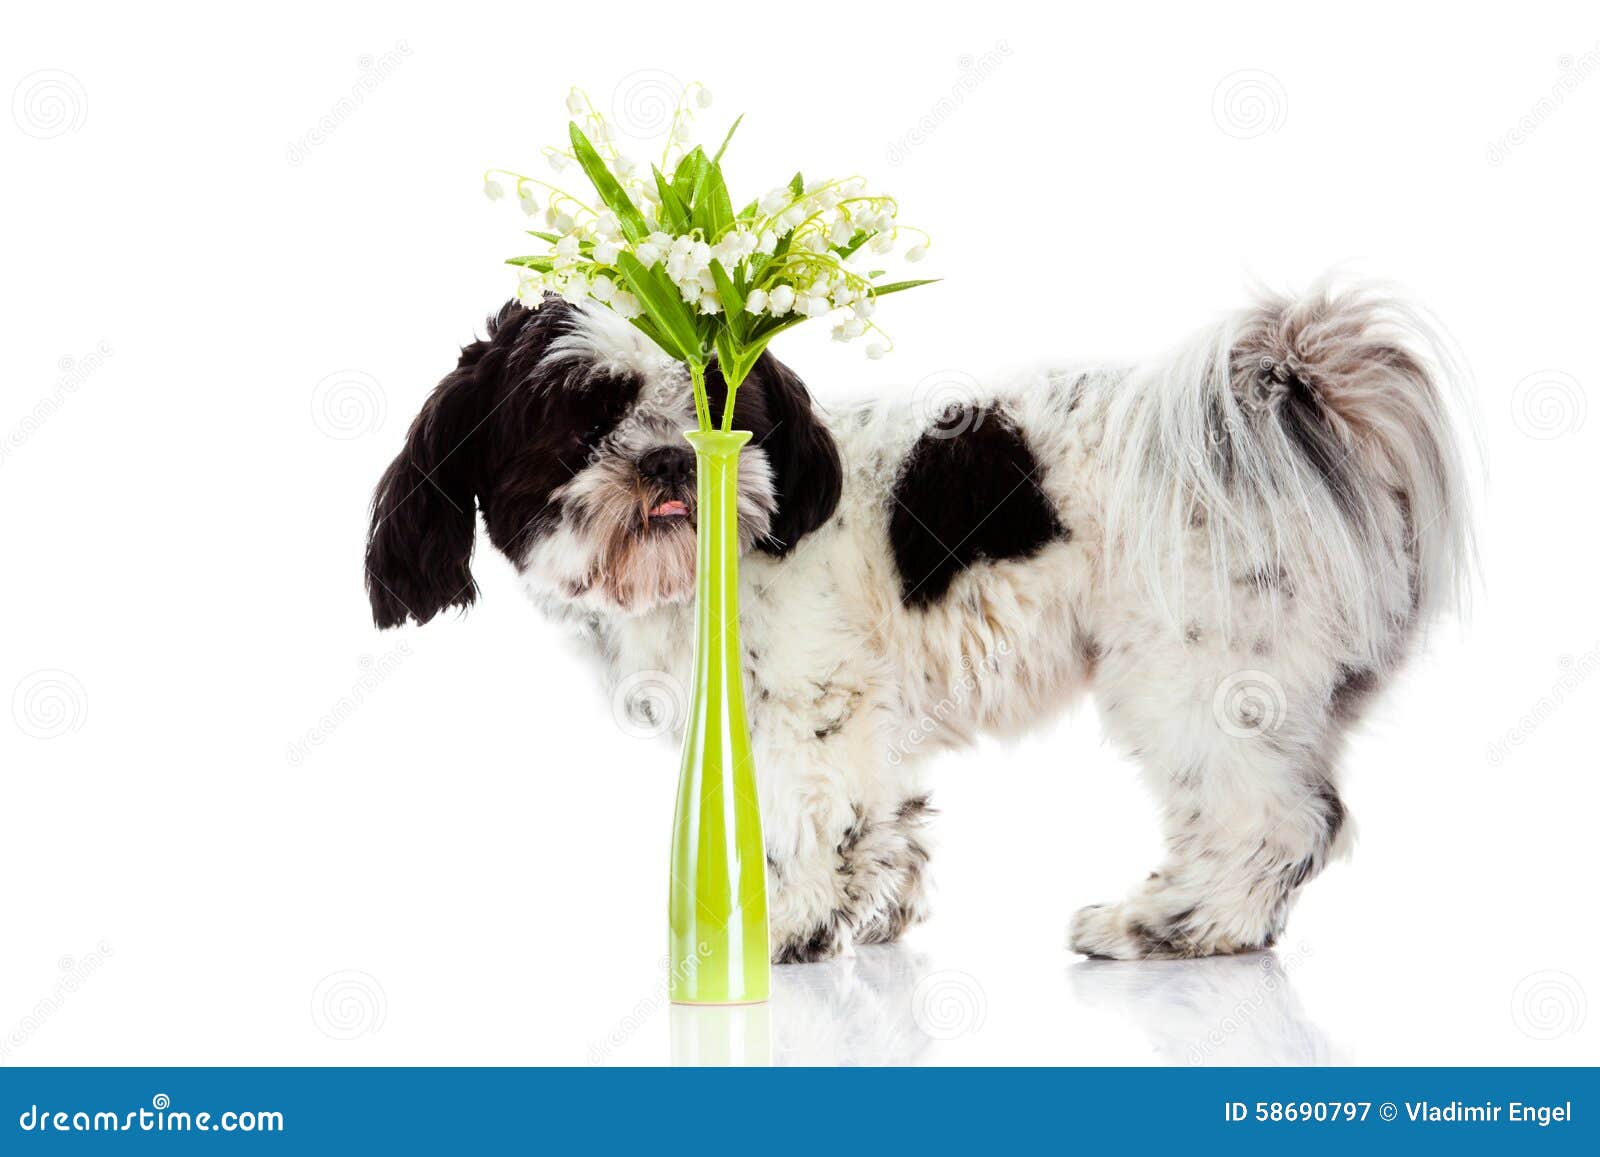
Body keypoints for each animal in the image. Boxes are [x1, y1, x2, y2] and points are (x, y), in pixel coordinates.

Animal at [366, 283, 1472, 966]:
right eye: (579, 420)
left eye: (721, 400)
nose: (671, 457)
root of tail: (1289, 396)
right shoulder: (861, 722)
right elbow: (884, 818)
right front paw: (871, 914)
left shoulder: (805, 709)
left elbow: (802, 825)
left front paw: (780, 931)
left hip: (1198, 678)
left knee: (1277, 818)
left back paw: (1174, 925)